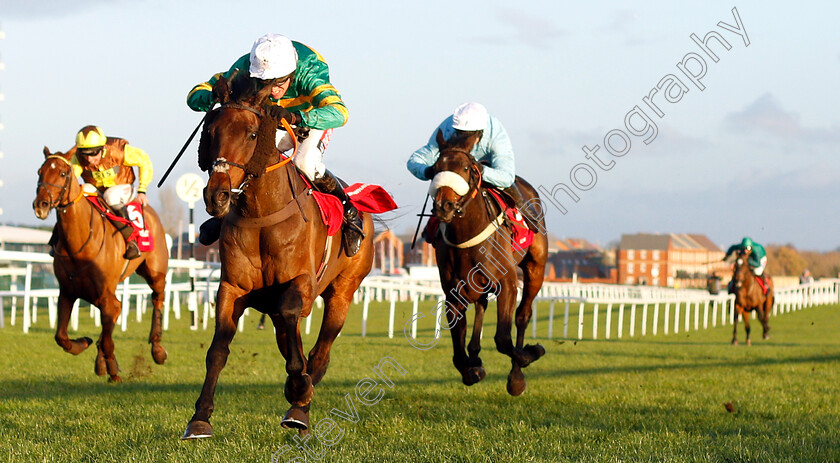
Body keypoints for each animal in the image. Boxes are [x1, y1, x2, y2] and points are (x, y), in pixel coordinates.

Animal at [32, 150, 169, 384]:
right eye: (40, 172)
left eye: (62, 173)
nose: (40, 204)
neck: (79, 241)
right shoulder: (68, 291)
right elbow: (62, 337)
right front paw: (84, 344)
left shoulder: (106, 295)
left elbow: (108, 334)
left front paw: (112, 368)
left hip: (156, 272)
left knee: (157, 298)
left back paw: (157, 349)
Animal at [185, 75, 378, 438]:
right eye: (211, 132)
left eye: (251, 134)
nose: (216, 195)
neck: (261, 214)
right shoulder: (232, 288)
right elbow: (217, 351)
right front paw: (200, 418)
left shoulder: (300, 285)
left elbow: (297, 337)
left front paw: (299, 390)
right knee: (294, 343)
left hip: (343, 292)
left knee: (320, 353)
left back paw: (300, 404)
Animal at [430, 130, 548, 396]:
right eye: (434, 169)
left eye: (465, 168)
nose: (444, 206)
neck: (466, 236)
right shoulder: (453, 293)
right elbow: (457, 354)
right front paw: (473, 369)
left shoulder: (508, 282)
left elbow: (503, 339)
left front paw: (529, 356)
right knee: (482, 304)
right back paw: (475, 354)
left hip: (536, 267)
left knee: (522, 315)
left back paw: (517, 373)